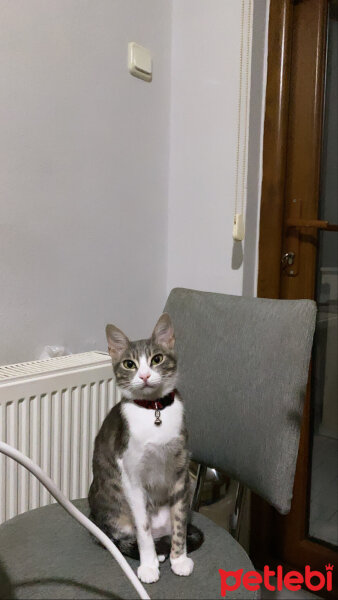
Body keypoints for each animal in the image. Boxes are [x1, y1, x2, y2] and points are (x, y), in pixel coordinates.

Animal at [88, 312, 203, 584]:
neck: (154, 411)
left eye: (157, 359)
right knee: (129, 535)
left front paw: (178, 559)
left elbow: (180, 521)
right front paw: (148, 565)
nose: (144, 376)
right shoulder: (131, 476)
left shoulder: (181, 474)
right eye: (129, 364)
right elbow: (143, 530)